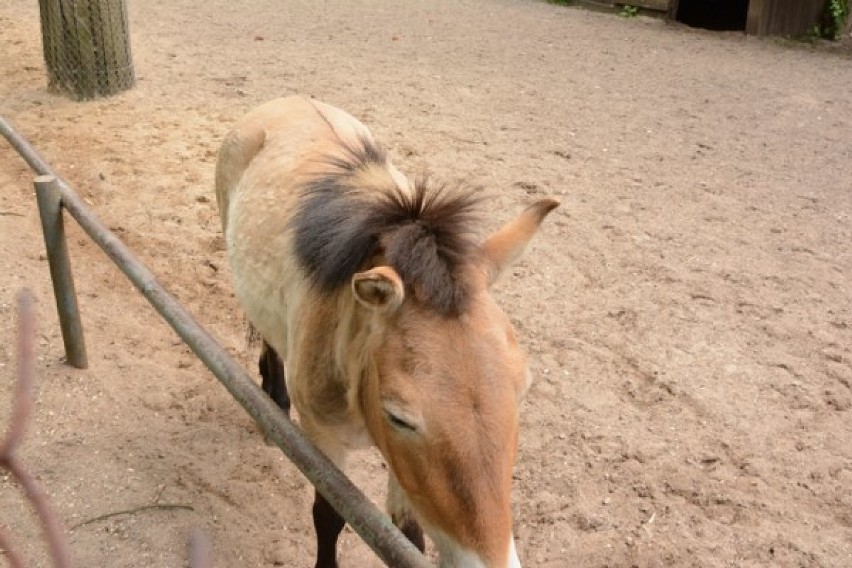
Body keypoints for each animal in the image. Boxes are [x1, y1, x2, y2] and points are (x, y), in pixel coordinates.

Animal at [216, 97, 556, 568]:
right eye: (398, 416)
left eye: (522, 391)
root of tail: (283, 102)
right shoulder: (325, 441)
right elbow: (329, 516)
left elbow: (407, 535)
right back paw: (274, 405)